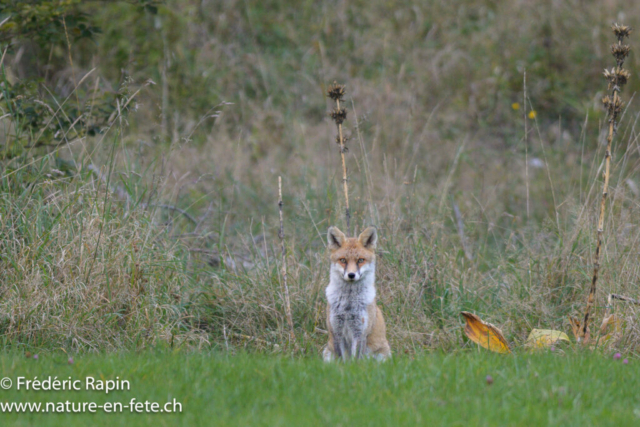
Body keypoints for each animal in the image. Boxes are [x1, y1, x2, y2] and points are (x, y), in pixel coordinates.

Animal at [323, 226, 391, 361]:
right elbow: (342, 360)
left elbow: (356, 360)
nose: (351, 275)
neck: (348, 305)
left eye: (360, 260)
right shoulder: (336, 330)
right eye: (343, 260)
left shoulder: (360, 331)